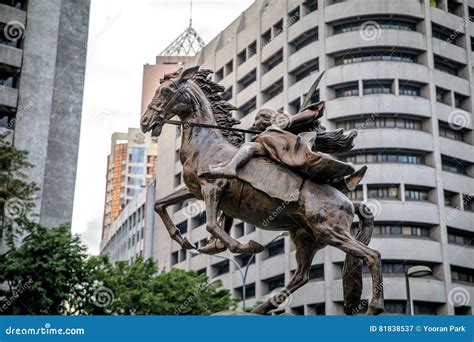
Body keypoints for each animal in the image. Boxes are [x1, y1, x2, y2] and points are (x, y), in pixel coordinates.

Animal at [141, 67, 386, 316]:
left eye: (165, 91)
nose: (144, 122)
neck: (206, 144)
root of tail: (349, 202)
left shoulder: (212, 187)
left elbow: (211, 224)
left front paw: (243, 246)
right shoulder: (195, 190)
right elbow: (160, 205)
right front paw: (183, 240)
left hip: (330, 231)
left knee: (372, 255)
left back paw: (375, 306)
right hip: (305, 237)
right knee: (301, 276)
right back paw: (260, 308)